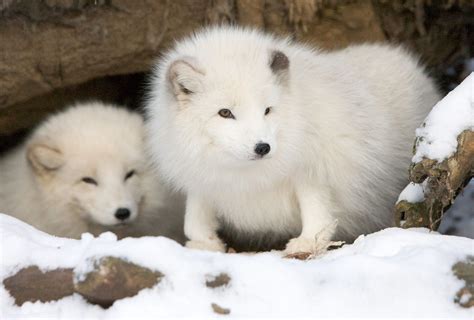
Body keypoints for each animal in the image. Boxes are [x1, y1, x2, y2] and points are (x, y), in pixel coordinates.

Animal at [145, 26, 440, 254]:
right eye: (225, 113)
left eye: (267, 110)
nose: (263, 147)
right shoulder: (202, 177)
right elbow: (193, 218)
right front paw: (203, 244)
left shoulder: (313, 172)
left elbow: (318, 215)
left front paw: (307, 244)